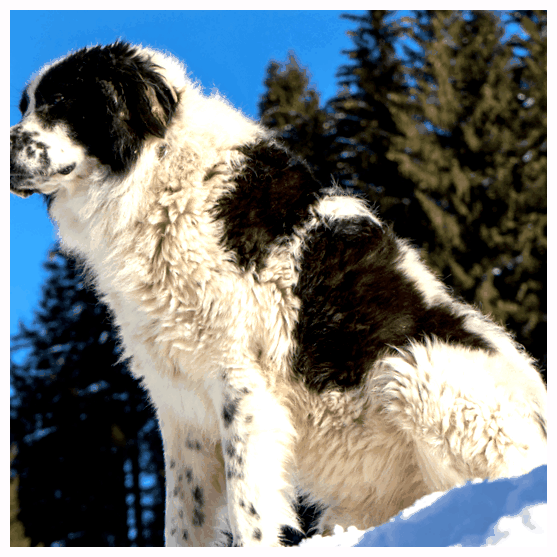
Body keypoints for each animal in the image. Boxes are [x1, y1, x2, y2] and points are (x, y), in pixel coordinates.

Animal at [9, 42, 548, 544]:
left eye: (59, 102)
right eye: (25, 105)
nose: (7, 143)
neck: (159, 181)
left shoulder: (241, 380)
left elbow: (247, 504)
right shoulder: (180, 406)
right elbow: (183, 518)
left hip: (415, 367)